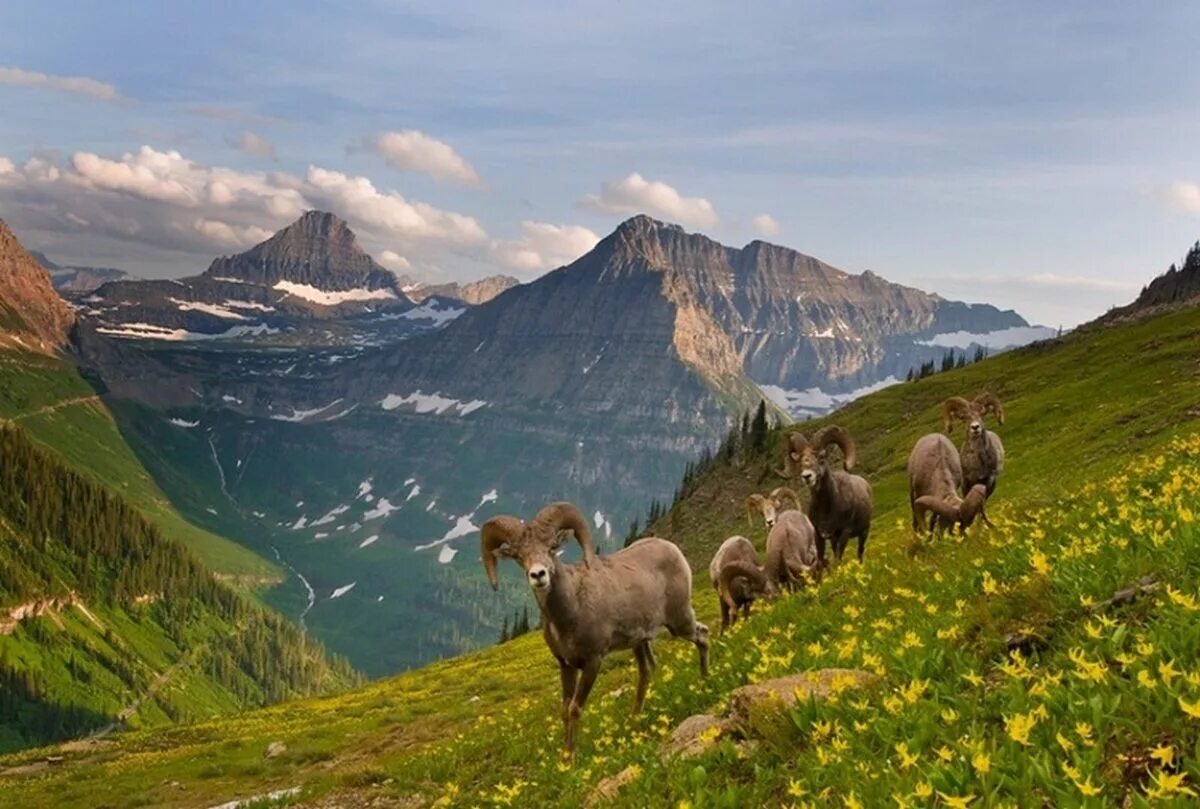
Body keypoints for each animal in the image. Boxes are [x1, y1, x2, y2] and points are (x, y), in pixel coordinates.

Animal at [477, 496, 705, 758]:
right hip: (640, 642)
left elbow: (575, 708)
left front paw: (572, 757)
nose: (538, 575)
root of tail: (672, 549)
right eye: (518, 555)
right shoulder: (566, 665)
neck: (570, 612)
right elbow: (565, 709)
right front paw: (564, 758)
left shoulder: (593, 662)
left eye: (551, 547)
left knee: (703, 635)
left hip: (680, 622)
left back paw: (705, 680)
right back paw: (634, 720)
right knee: (647, 671)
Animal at [777, 427, 873, 561]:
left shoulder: (844, 532)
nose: (807, 476)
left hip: (864, 532)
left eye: (821, 457)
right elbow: (822, 559)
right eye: (800, 460)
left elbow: (838, 559)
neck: (827, 509)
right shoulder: (820, 534)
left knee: (860, 552)